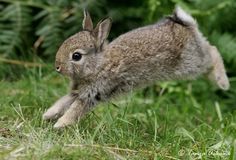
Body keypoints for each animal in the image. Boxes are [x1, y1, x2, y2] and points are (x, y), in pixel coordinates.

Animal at [42, 6, 229, 129]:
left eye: (76, 56)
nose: (57, 67)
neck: (98, 64)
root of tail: (186, 26)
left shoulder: (93, 94)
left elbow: (75, 110)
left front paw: (59, 125)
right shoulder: (77, 92)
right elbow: (62, 102)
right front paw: (48, 115)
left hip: (191, 63)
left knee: (213, 52)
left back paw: (223, 82)